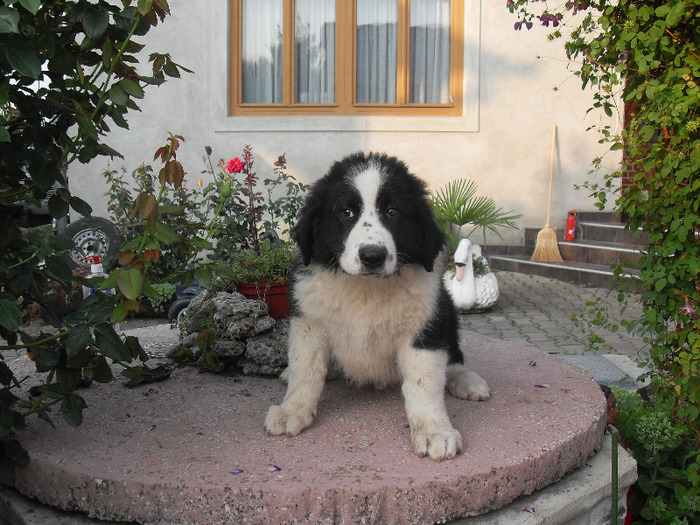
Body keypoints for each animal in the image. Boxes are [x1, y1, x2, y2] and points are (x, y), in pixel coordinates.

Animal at [266, 151, 490, 458]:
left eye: (393, 212)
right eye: (346, 212)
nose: (372, 256)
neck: (366, 289)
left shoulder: (424, 325)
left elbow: (424, 383)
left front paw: (434, 431)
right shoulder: (310, 321)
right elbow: (306, 370)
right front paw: (293, 410)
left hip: (447, 312)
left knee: (453, 357)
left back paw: (466, 380)